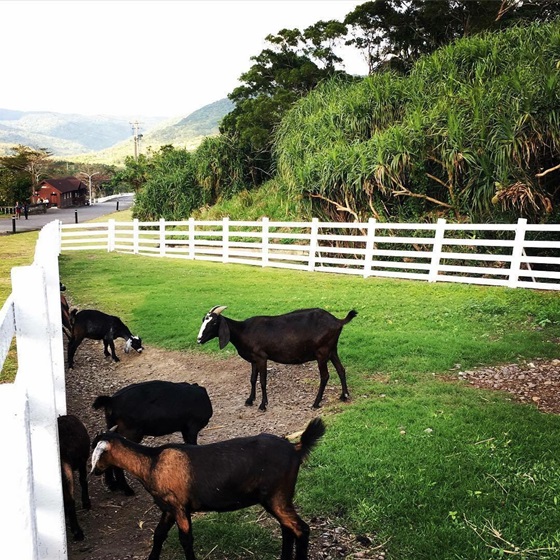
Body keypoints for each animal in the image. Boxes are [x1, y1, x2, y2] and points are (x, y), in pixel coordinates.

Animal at [197, 306, 354, 412]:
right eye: (203, 320)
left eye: (213, 323)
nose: (199, 339)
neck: (244, 331)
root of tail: (338, 321)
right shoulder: (254, 359)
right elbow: (252, 379)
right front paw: (250, 400)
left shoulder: (262, 357)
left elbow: (262, 381)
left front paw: (262, 405)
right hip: (332, 350)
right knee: (341, 369)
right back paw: (344, 395)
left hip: (322, 352)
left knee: (325, 376)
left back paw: (316, 403)